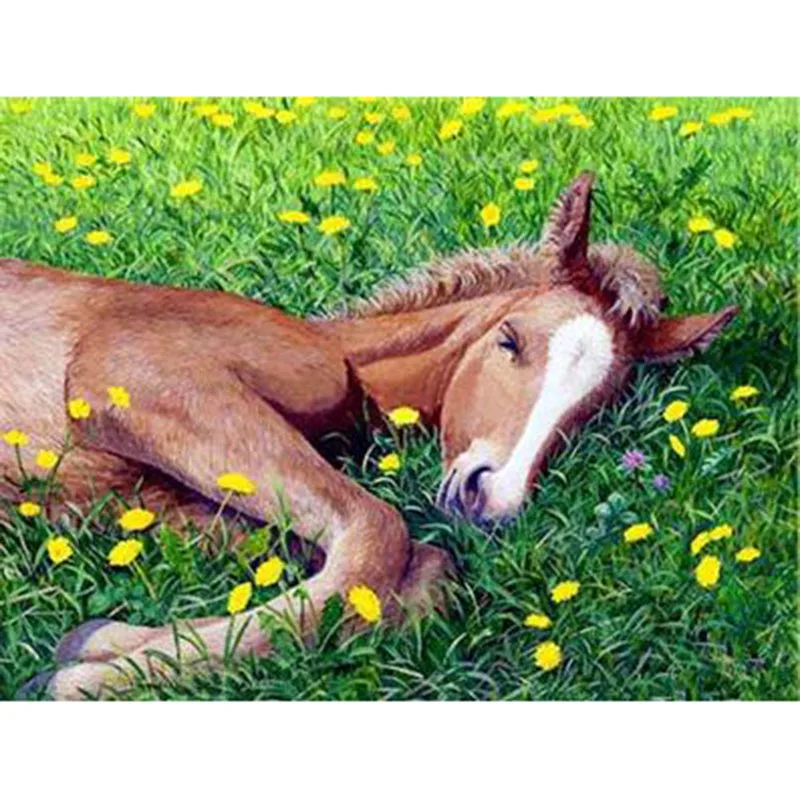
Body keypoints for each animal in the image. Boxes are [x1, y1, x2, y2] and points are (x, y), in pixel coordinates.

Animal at [2, 172, 737, 699]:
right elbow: (379, 534)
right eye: (509, 340)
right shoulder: (138, 383)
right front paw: (85, 679)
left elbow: (406, 569)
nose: (493, 501)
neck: (342, 357)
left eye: (595, 407)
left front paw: (93, 645)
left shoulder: (142, 500)